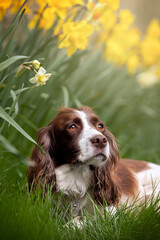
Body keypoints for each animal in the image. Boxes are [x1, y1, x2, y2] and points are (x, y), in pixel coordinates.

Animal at [27, 106, 160, 222]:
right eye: (72, 126)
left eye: (100, 126)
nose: (101, 140)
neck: (76, 179)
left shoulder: (110, 213)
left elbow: (81, 220)